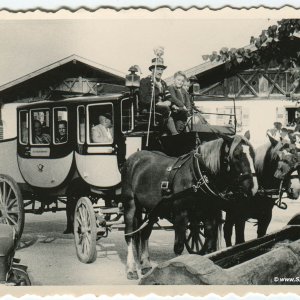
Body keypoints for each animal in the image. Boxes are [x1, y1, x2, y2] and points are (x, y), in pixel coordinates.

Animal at [122, 135, 258, 280]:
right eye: (236, 155)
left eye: (252, 154)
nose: (253, 188)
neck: (198, 176)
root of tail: (134, 158)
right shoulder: (181, 216)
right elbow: (179, 246)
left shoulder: (209, 216)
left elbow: (209, 245)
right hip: (130, 204)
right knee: (129, 235)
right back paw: (131, 269)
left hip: (152, 209)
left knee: (145, 233)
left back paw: (146, 264)